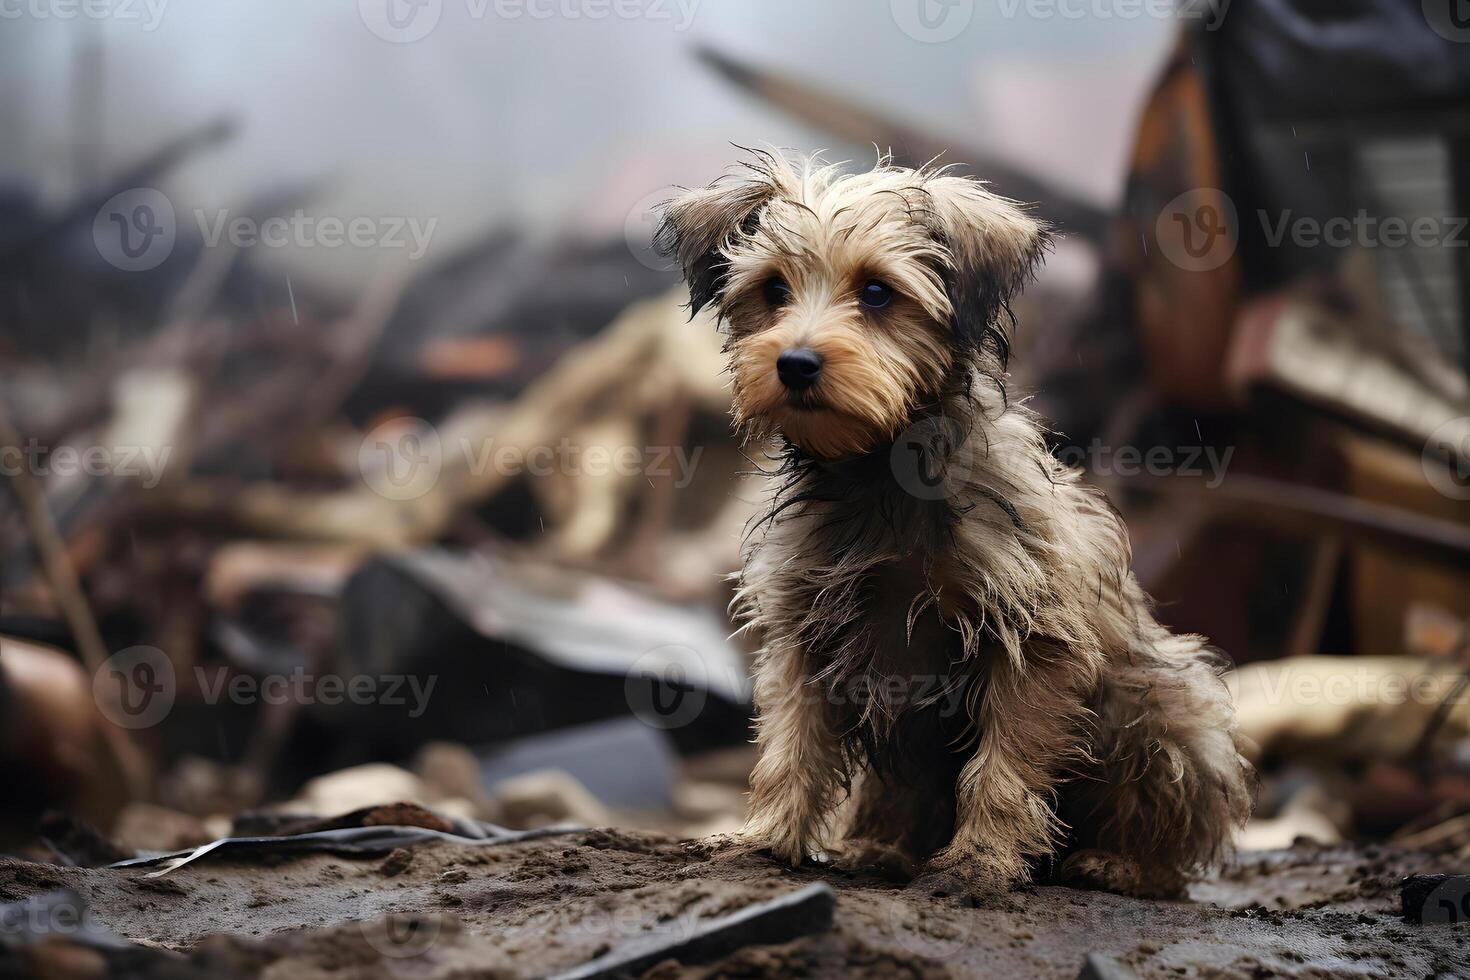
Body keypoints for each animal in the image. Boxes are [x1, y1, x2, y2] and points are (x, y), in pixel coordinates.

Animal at [658, 151, 1252, 899]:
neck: (881, 475)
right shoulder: (805, 634)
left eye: (877, 292)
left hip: (1170, 709)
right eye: (772, 289)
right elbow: (790, 747)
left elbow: (1003, 769)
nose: (793, 364)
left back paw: (1122, 862)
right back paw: (879, 846)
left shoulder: (1031, 640)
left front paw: (980, 861)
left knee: (1168, 831)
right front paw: (766, 838)